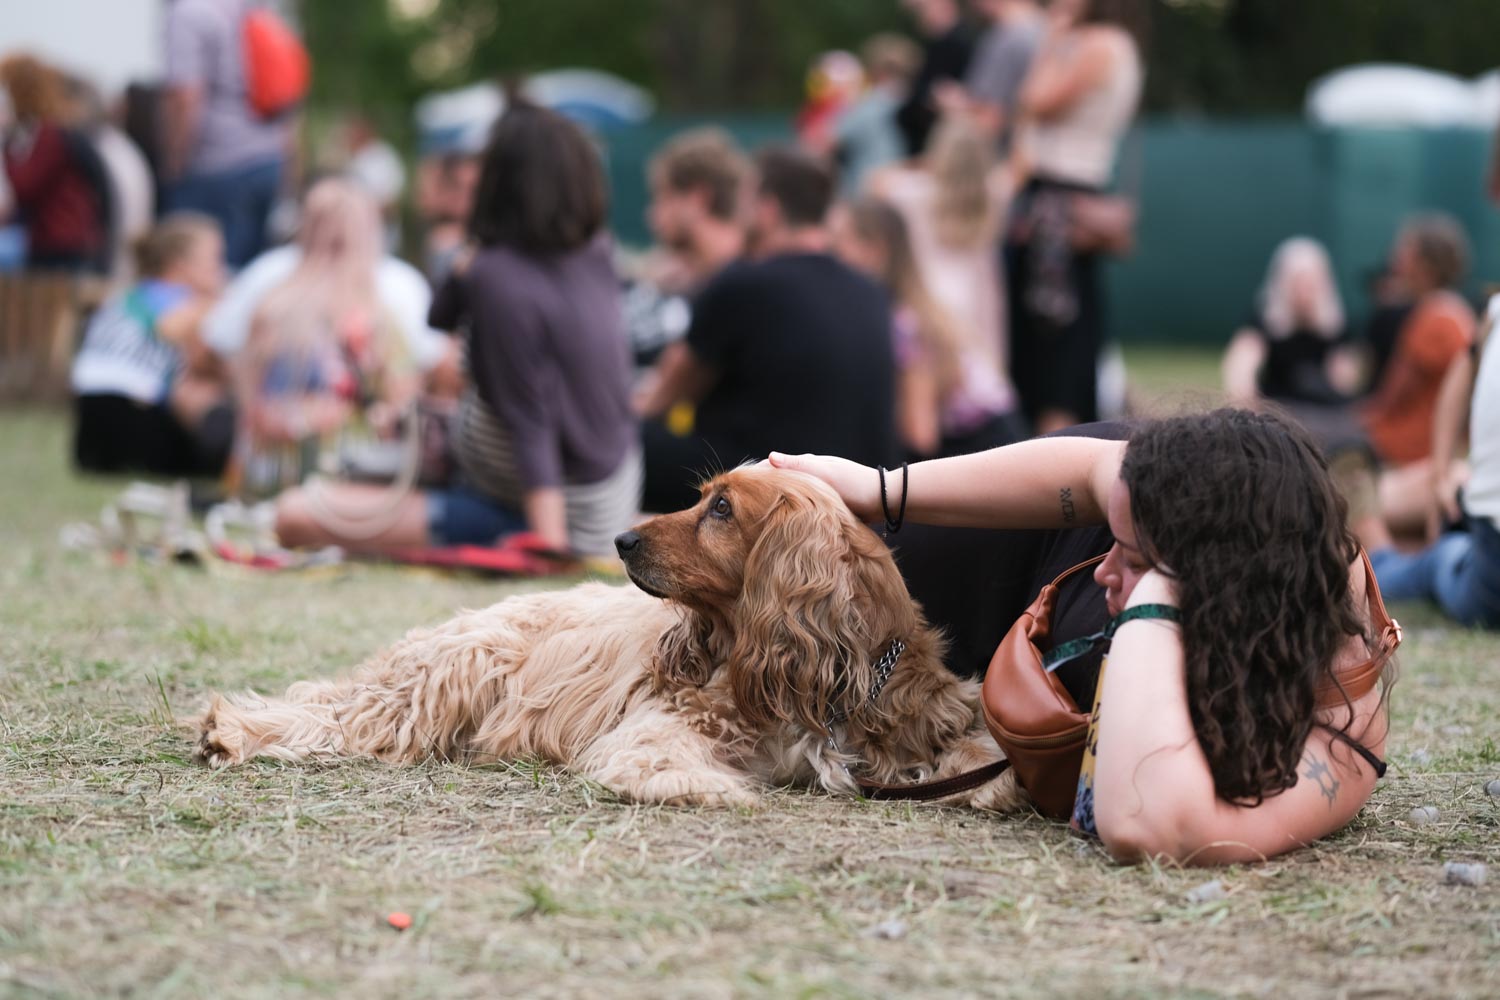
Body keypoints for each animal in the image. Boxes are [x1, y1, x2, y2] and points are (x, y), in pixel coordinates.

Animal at [184, 470, 1008, 815]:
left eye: (720, 508)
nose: (621, 539)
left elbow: (980, 758)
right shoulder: (661, 727)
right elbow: (667, 762)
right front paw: (716, 787)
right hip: (454, 671)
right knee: (341, 717)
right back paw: (232, 730)